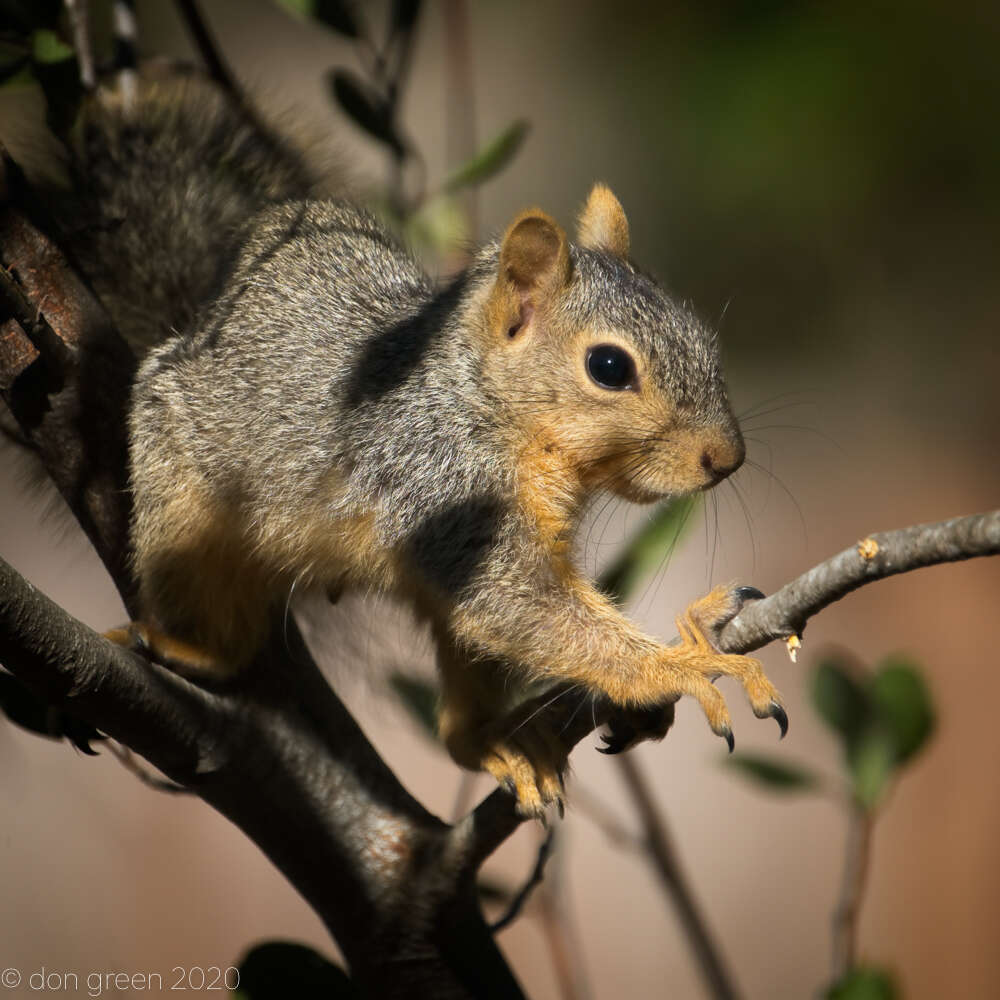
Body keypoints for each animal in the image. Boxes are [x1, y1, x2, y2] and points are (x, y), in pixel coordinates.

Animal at [56, 80, 788, 820]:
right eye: (609, 367)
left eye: (701, 334)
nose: (727, 458)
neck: (488, 407)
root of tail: (205, 315)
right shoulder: (443, 486)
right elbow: (523, 606)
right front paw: (685, 665)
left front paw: (675, 654)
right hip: (182, 500)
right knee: (217, 622)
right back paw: (188, 646)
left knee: (455, 714)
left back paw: (497, 741)